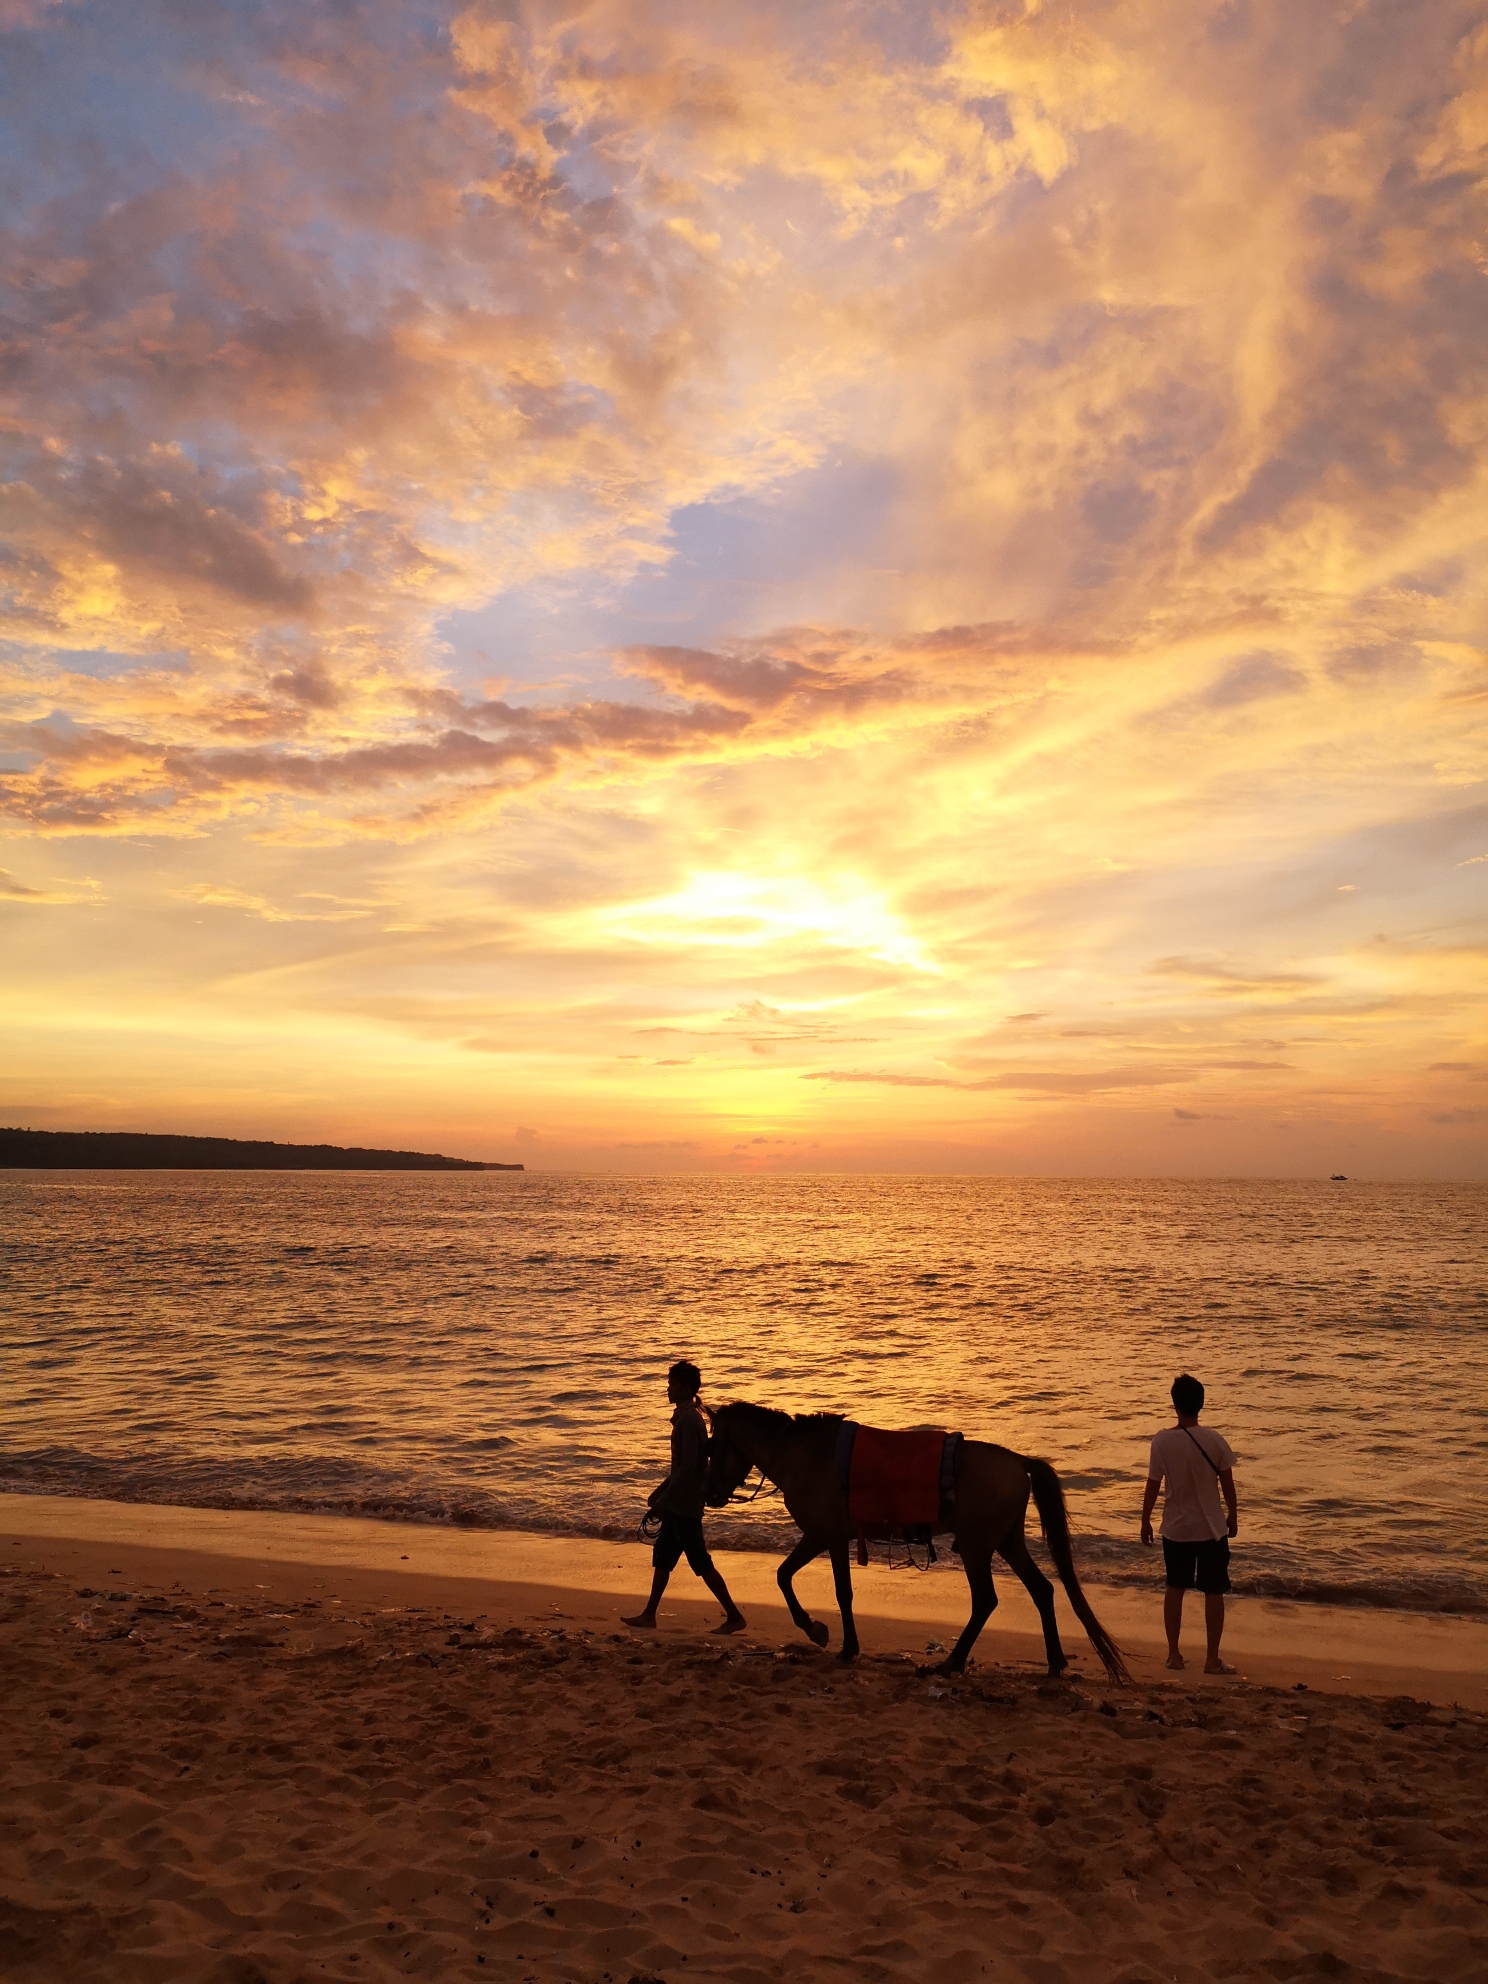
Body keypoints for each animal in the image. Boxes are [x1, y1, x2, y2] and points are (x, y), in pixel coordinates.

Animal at [706, 1404, 1126, 1682]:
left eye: (712, 1446)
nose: (711, 1495)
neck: (804, 1455)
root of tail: (1016, 1460)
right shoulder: (832, 1538)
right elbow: (827, 1587)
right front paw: (843, 1643)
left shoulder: (823, 1536)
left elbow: (795, 1579)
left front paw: (820, 1633)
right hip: (1007, 1542)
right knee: (1041, 1590)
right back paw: (1053, 1661)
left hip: (976, 1547)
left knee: (986, 1601)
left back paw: (953, 1661)